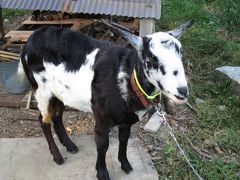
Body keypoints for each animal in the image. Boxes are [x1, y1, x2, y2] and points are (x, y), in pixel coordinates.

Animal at [17, 20, 192, 179]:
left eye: (181, 54)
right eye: (150, 58)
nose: (182, 91)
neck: (127, 77)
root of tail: (31, 39)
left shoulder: (126, 120)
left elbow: (124, 140)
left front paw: (125, 165)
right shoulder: (101, 119)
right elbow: (103, 145)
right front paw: (102, 173)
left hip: (59, 92)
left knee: (57, 115)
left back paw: (70, 145)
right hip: (41, 90)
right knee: (43, 121)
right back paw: (57, 156)